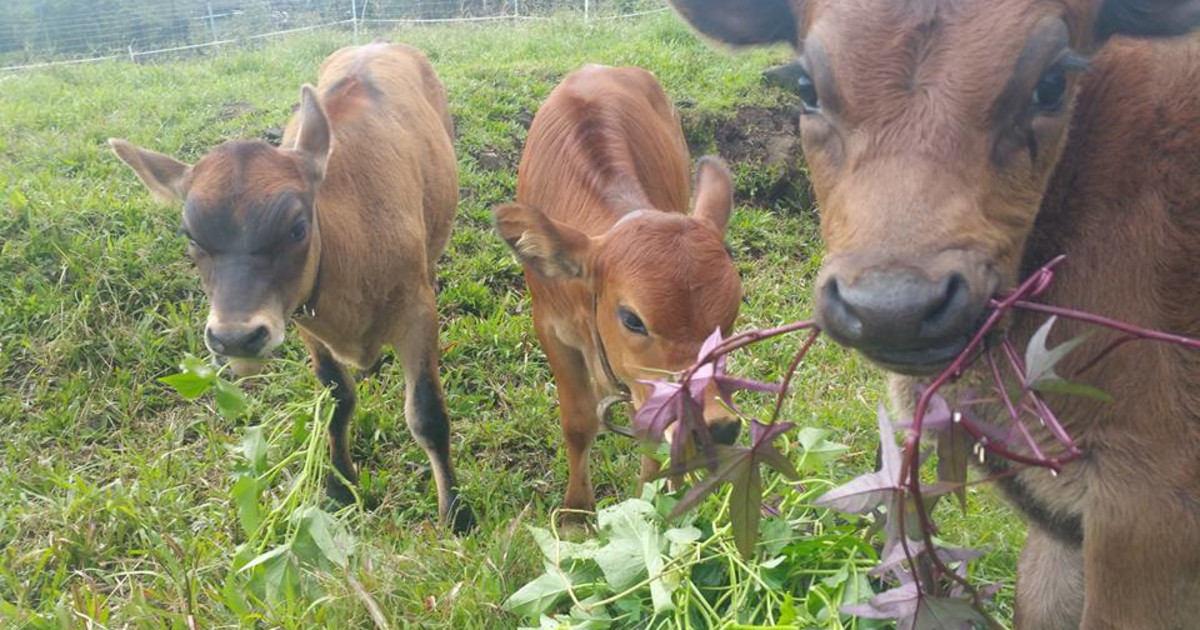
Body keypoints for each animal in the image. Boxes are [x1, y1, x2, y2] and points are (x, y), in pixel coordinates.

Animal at [109, 42, 475, 533]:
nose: (235, 338)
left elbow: (427, 413)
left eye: (298, 227)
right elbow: (337, 400)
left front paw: (455, 511)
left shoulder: (416, 311)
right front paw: (340, 484)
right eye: (191, 236)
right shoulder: (302, 319)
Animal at [493, 65, 745, 525]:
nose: (717, 426)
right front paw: (577, 514)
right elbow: (577, 423)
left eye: (731, 318)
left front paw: (656, 504)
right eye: (631, 319)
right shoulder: (550, 329)